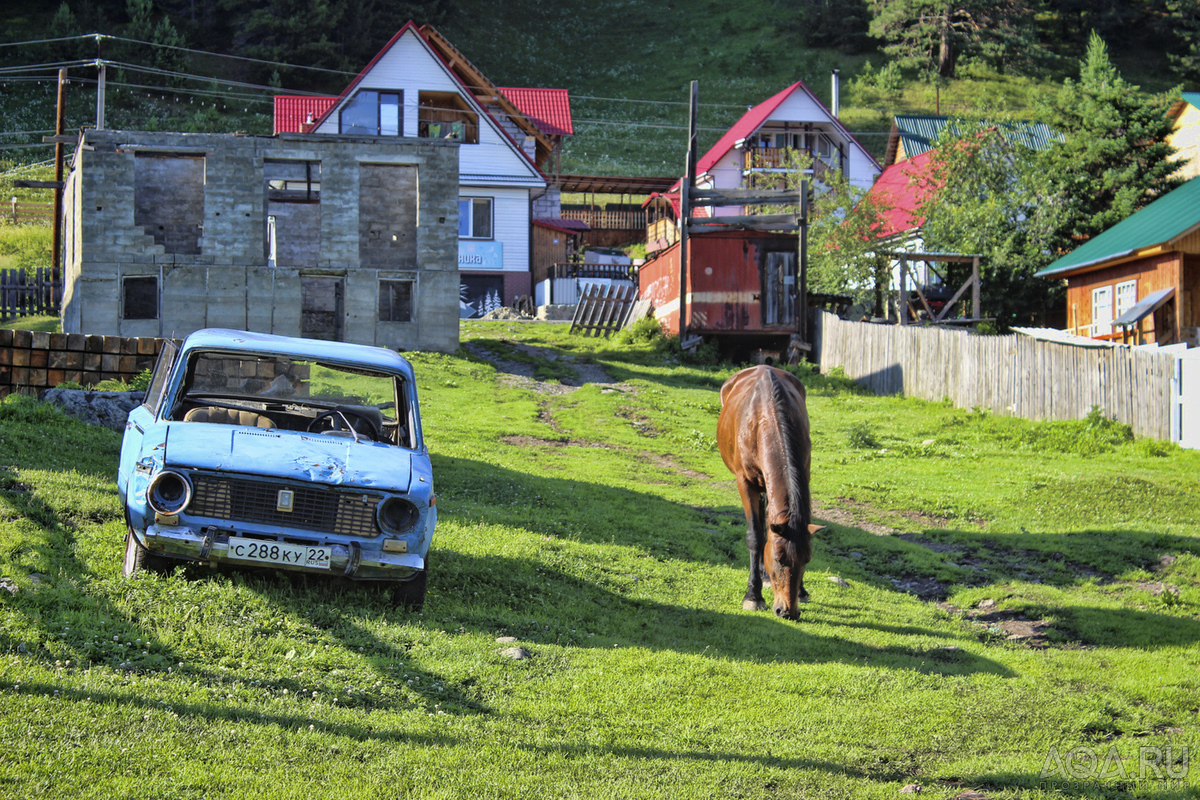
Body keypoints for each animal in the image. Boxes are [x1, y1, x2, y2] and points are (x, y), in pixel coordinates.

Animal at [715, 362, 820, 618]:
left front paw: (802, 591)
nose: (788, 611)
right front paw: (753, 596)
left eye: (807, 560)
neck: (766, 417)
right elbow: (756, 536)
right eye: (778, 558)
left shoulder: (804, 472)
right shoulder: (745, 482)